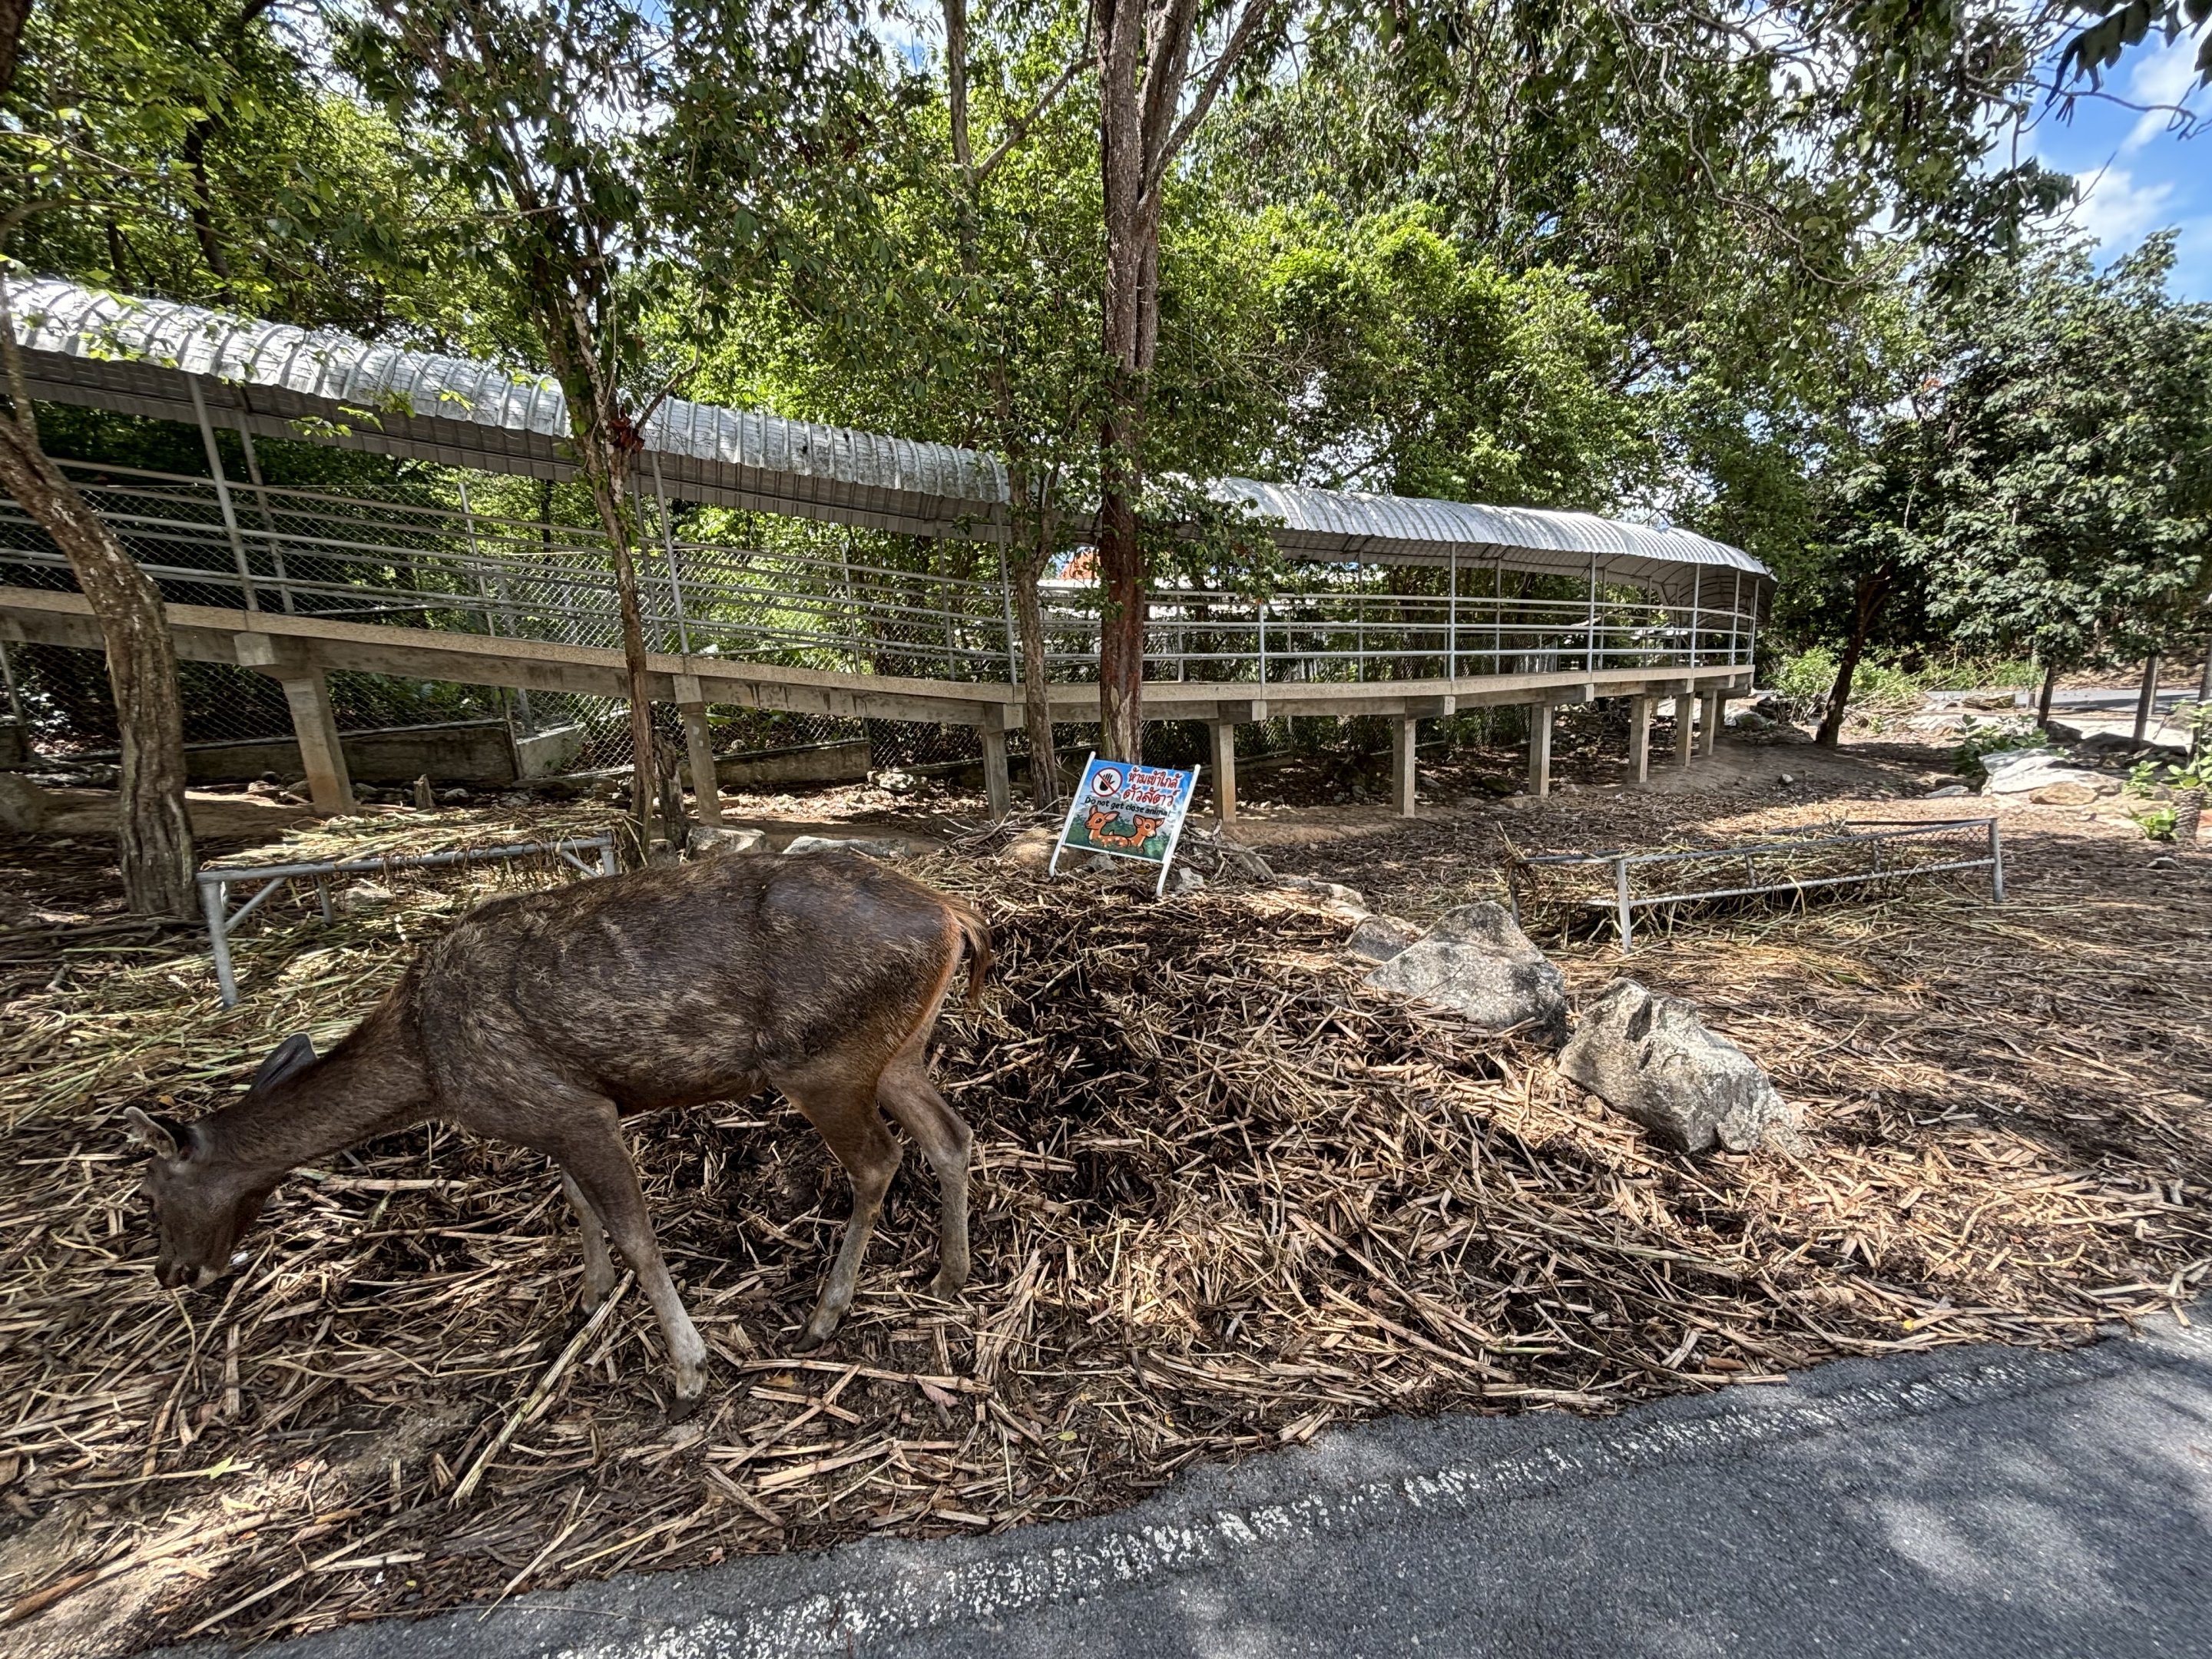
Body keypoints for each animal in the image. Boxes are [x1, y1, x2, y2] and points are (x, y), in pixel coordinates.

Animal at [122, 849, 990, 1412]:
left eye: (150, 1195)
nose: (171, 1273)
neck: (429, 1070)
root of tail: (957, 917)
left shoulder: (577, 1110)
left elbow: (638, 1233)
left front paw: (688, 1373)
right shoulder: (547, 1116)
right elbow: (575, 1203)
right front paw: (588, 1295)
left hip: (822, 1058)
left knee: (878, 1161)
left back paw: (825, 1313)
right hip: (896, 1050)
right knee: (949, 1133)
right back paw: (950, 1275)